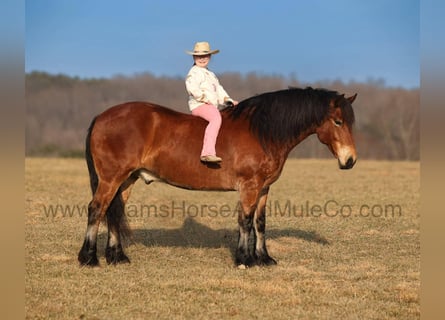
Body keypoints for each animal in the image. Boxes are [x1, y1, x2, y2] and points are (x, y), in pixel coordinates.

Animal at [78, 85, 358, 268]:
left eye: (350, 122)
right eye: (337, 121)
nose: (350, 160)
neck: (262, 131)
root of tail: (102, 116)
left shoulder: (264, 188)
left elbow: (260, 223)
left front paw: (264, 258)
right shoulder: (249, 187)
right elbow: (245, 221)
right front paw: (244, 259)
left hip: (126, 180)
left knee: (113, 211)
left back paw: (117, 257)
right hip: (111, 178)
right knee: (97, 209)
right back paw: (89, 258)